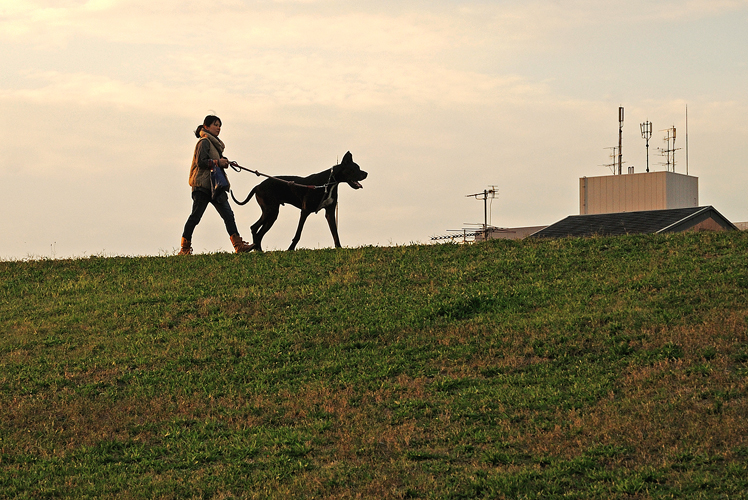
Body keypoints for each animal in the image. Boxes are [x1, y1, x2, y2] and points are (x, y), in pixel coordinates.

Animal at [231, 151, 367, 251]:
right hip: (270, 210)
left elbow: (335, 232)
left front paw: (339, 248)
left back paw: (259, 251)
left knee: (258, 232)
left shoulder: (330, 212)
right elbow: (298, 234)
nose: (366, 173)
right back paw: (257, 250)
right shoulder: (305, 211)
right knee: (254, 228)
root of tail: (257, 186)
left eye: (359, 168)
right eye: (355, 168)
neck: (329, 183)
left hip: (272, 214)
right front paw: (290, 249)